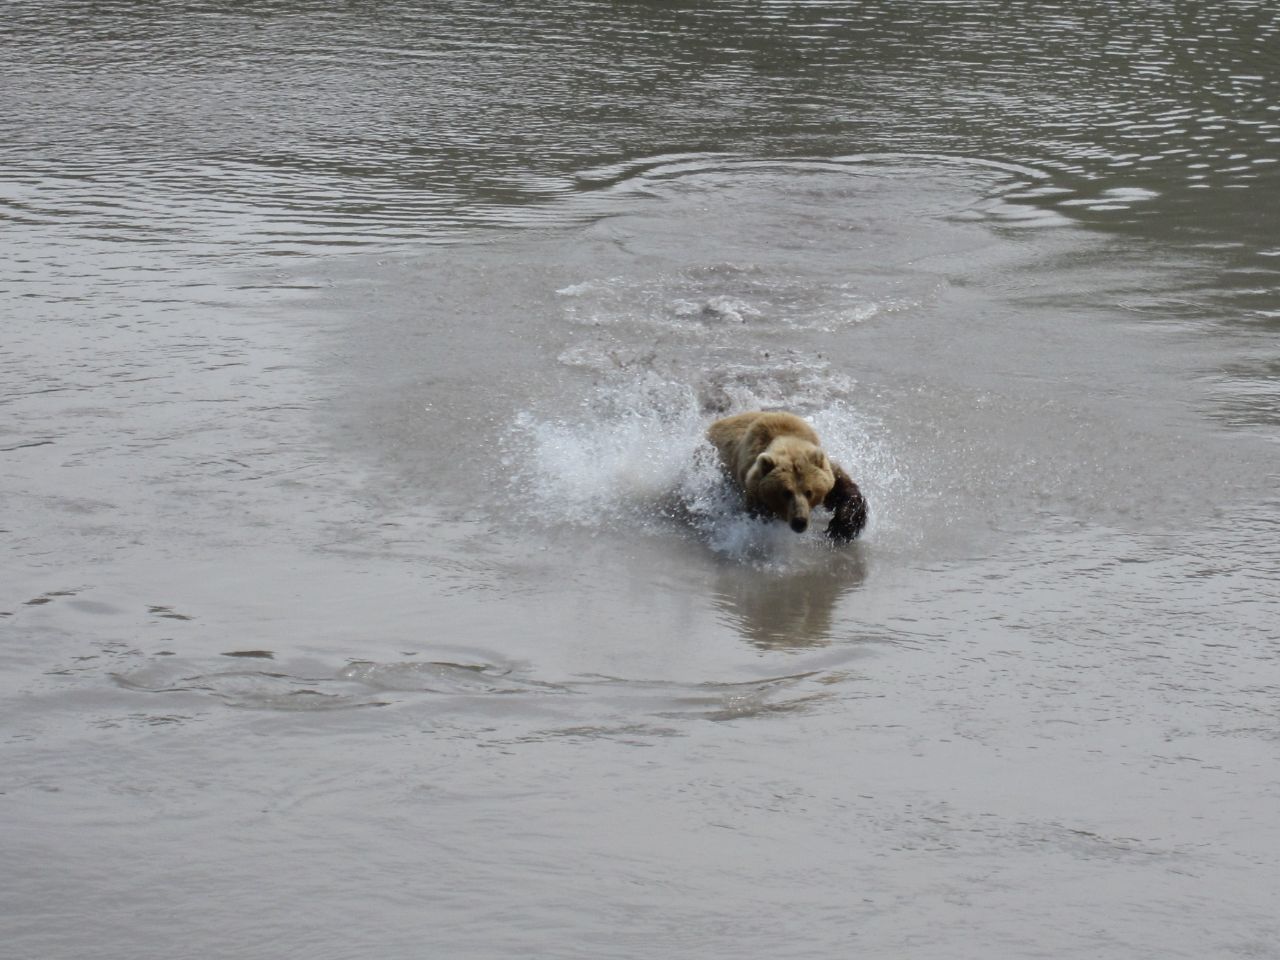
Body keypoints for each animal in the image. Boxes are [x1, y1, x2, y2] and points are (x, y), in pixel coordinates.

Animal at [706, 412, 865, 542]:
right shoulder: (752, 487)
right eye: (786, 492)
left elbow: (844, 491)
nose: (799, 521)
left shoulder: (828, 472)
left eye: (809, 492)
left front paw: (842, 526)